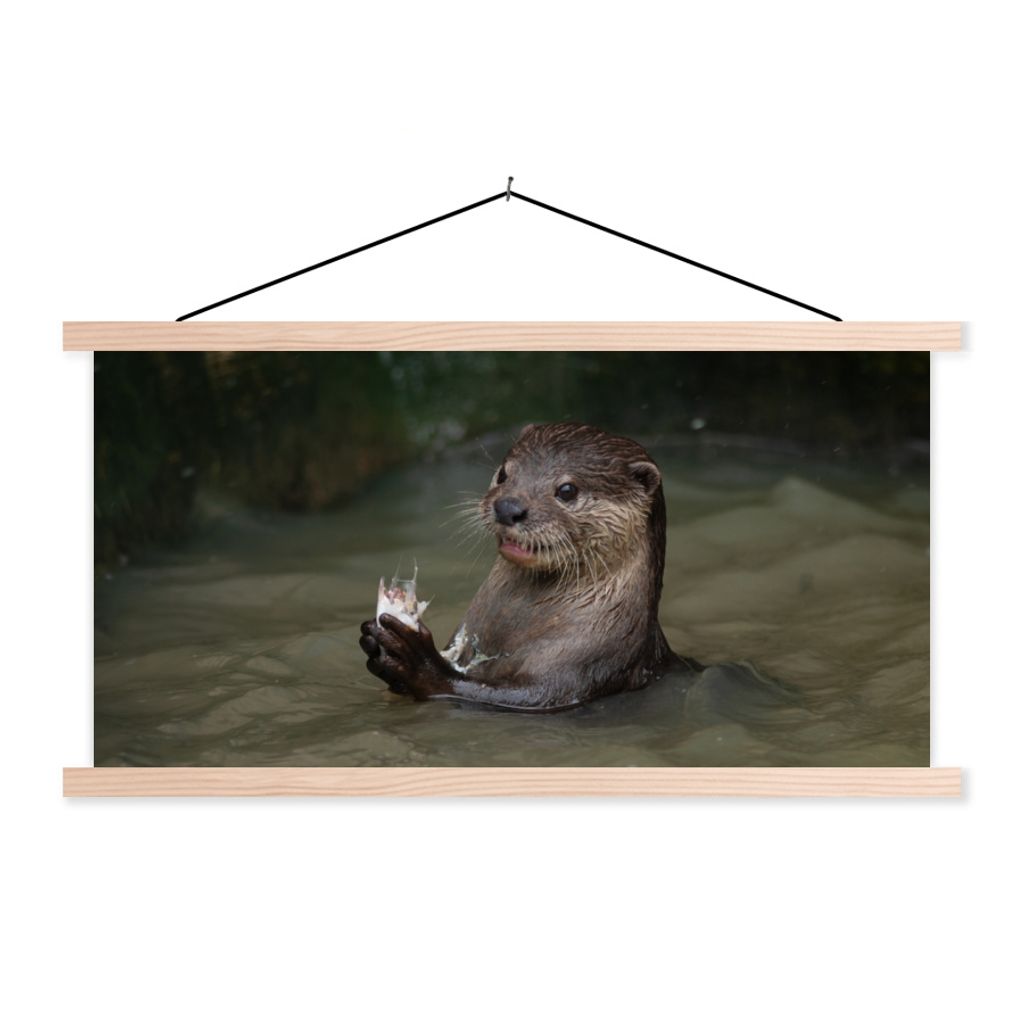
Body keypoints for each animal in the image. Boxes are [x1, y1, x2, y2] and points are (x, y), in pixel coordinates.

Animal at [359, 422, 701, 710]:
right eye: (503, 474)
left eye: (567, 490)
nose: (508, 507)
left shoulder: (586, 664)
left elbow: (519, 696)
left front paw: (417, 661)